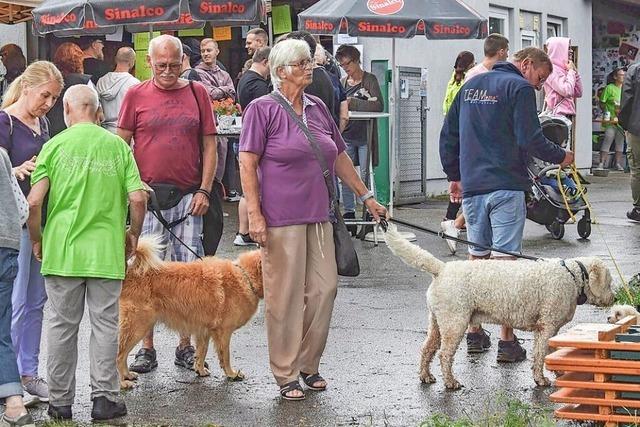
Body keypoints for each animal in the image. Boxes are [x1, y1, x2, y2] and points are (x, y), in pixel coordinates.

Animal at [117, 239, 262, 390]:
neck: (245, 277)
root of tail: (130, 271)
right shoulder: (224, 332)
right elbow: (225, 357)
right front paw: (232, 374)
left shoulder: (204, 331)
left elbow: (201, 353)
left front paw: (200, 370)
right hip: (138, 327)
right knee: (119, 356)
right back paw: (122, 382)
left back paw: (128, 375)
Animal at [382, 224, 616, 392]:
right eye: (609, 282)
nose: (614, 298)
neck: (572, 276)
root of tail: (441, 269)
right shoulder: (547, 327)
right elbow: (542, 354)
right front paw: (541, 379)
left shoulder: (548, 329)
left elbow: (548, 353)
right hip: (454, 323)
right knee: (444, 355)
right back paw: (450, 382)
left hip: (437, 323)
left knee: (427, 349)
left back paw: (426, 376)